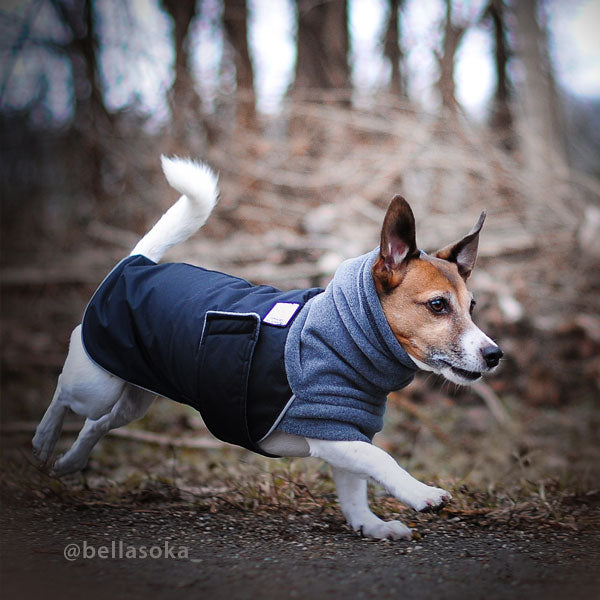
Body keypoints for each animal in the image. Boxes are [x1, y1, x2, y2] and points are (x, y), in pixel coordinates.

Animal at [31, 157, 502, 540]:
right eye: (438, 305)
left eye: (472, 307)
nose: (494, 354)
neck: (345, 334)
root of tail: (136, 264)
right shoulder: (329, 433)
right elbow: (381, 461)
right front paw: (420, 492)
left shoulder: (343, 431)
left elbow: (355, 491)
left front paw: (372, 526)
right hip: (97, 384)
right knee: (64, 395)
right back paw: (42, 440)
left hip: (134, 398)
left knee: (96, 424)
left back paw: (69, 462)